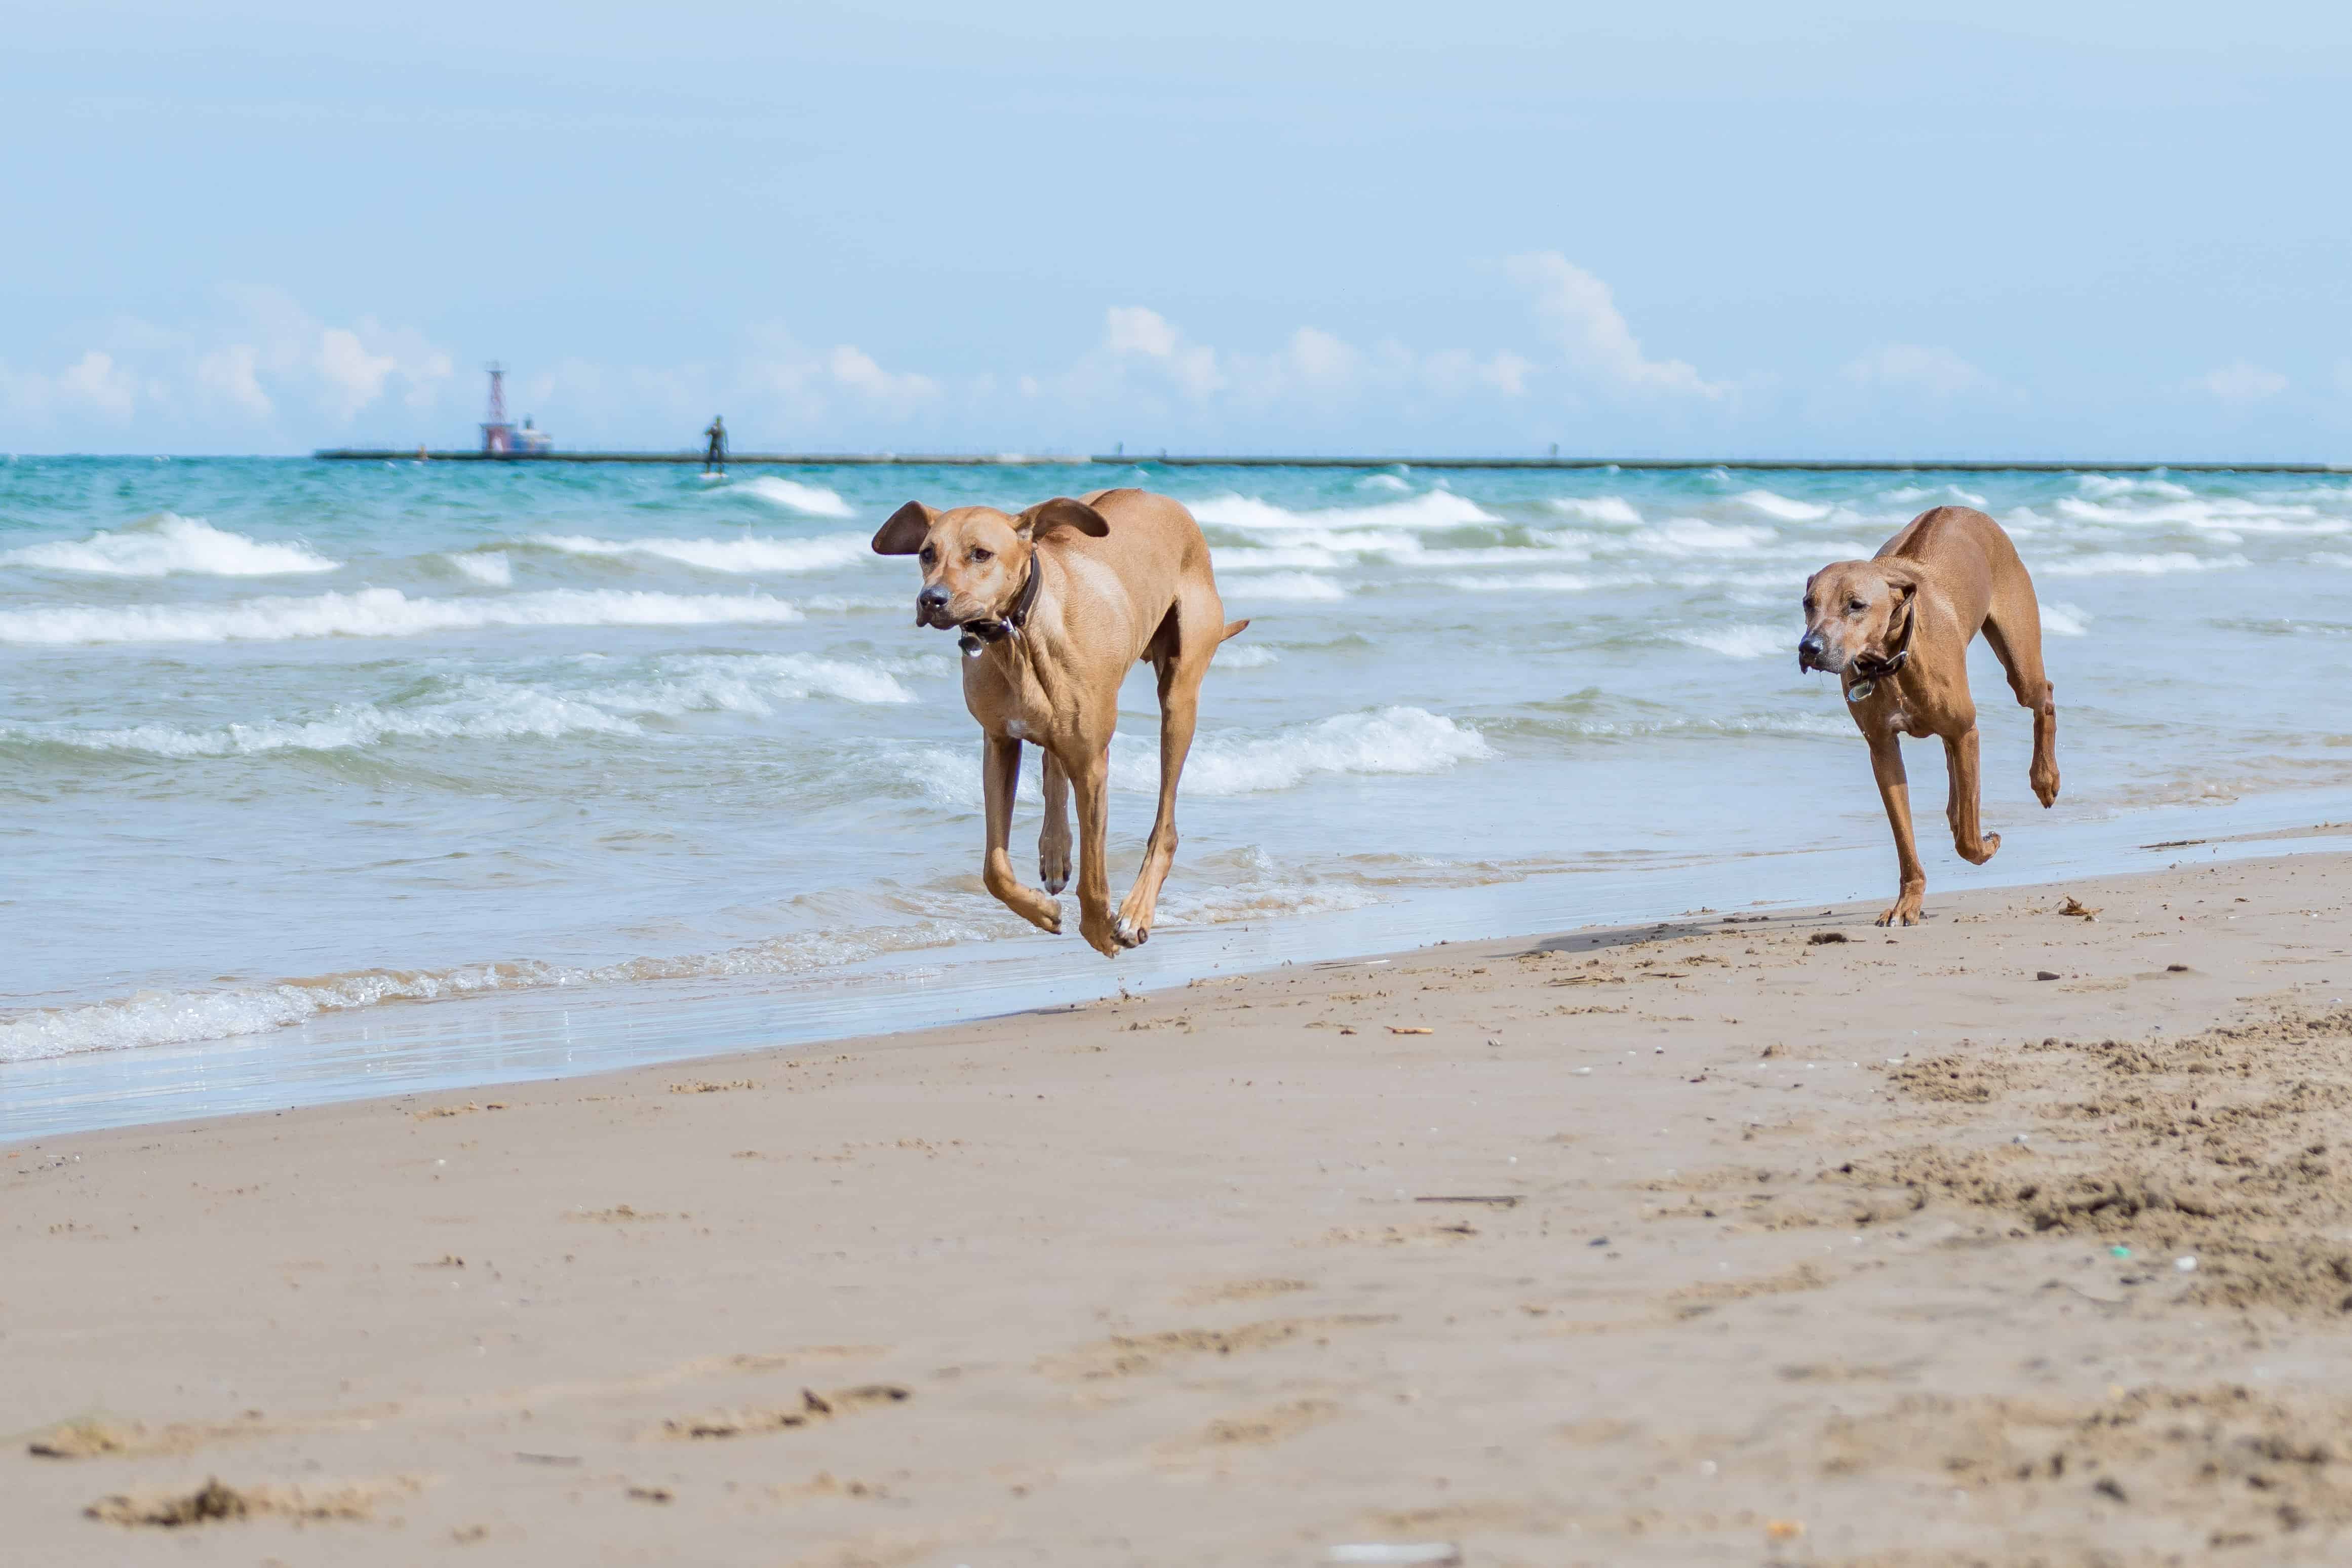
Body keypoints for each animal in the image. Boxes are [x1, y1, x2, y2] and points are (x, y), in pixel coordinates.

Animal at [870, 486, 1242, 959]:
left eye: (980, 554)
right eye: (926, 553)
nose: (931, 599)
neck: (1018, 637)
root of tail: (1157, 495)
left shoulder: (1092, 762)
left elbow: (1096, 874)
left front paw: (1100, 929)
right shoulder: (999, 742)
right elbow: (994, 869)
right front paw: (1043, 911)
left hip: (1180, 695)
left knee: (1166, 823)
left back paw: (1137, 910)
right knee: (1052, 764)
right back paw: (1054, 850)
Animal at [1797, 503, 2060, 926]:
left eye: (1856, 605)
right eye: (1808, 603)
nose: (1809, 648)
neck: (1890, 661)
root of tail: (1963, 509)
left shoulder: (1967, 730)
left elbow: (1969, 839)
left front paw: (1986, 844)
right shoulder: (1882, 749)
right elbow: (1905, 838)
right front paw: (1908, 903)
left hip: (2021, 663)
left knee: (2044, 696)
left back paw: (2046, 779)